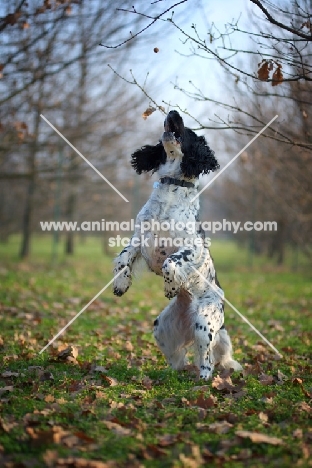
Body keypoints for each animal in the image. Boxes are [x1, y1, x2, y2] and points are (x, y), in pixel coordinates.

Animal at [113, 110, 243, 380]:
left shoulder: (193, 248)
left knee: (207, 360)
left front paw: (170, 288)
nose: (173, 111)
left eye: (189, 131)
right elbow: (122, 258)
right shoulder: (139, 240)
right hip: (161, 327)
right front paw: (120, 284)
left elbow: (170, 263)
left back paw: (203, 380)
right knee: (178, 359)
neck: (171, 188)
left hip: (205, 324)